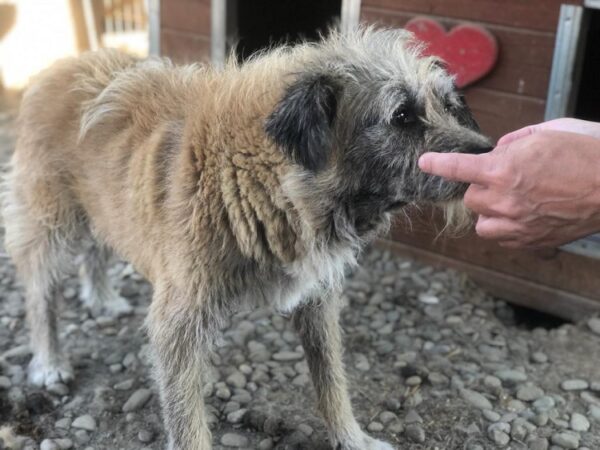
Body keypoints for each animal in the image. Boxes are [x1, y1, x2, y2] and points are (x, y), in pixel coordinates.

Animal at [3, 28, 492, 450]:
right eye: (402, 116)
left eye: (449, 104)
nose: (488, 154)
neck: (262, 174)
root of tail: (57, 67)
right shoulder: (177, 326)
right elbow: (187, 422)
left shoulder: (317, 301)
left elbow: (331, 378)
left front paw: (352, 438)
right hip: (49, 224)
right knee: (41, 294)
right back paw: (49, 362)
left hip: (103, 208)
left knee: (95, 250)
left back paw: (101, 298)